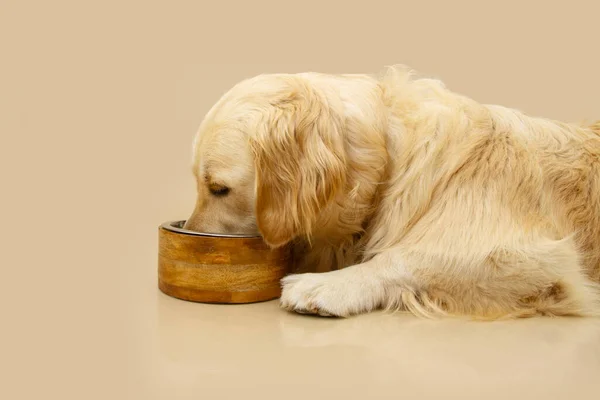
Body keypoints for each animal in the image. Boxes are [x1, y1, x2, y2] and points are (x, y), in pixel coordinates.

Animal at [182, 66, 600, 322]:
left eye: (219, 189)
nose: (190, 234)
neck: (390, 159)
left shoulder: (537, 256)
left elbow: (405, 256)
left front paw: (329, 284)